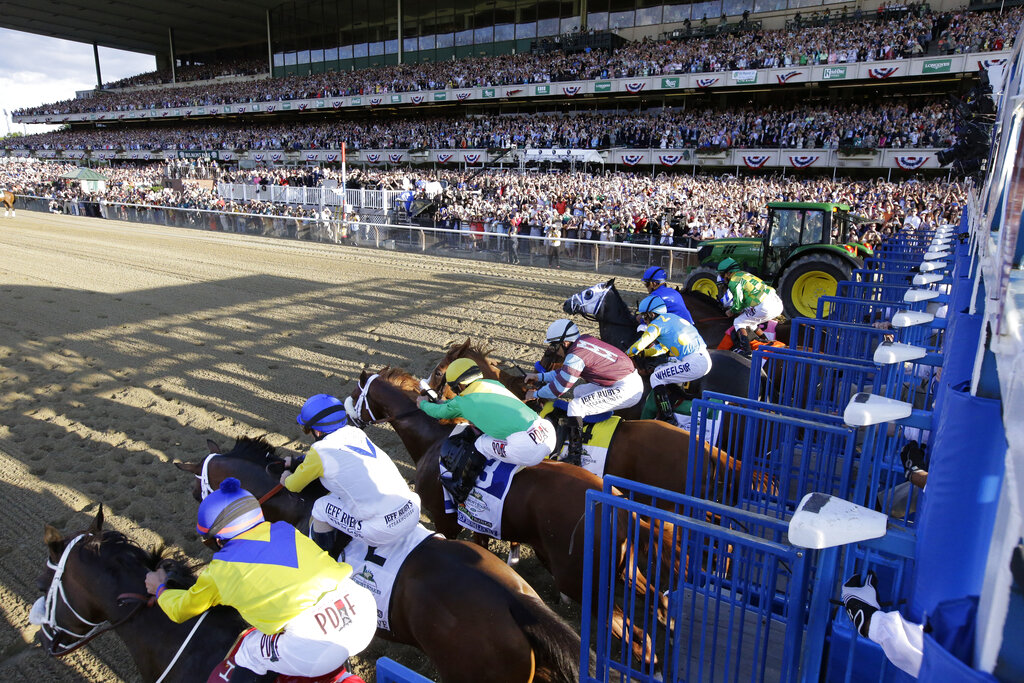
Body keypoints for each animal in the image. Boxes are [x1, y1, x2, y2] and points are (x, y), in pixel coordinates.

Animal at [348, 368, 675, 663]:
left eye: (356, 393)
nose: (348, 419)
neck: (434, 439)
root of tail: (618, 506)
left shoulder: (444, 522)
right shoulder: (478, 524)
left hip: (582, 582)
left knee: (633, 633)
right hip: (622, 569)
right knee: (655, 603)